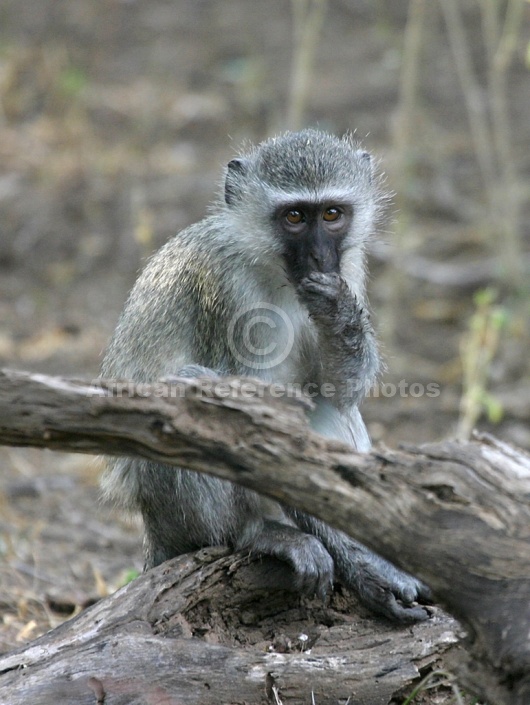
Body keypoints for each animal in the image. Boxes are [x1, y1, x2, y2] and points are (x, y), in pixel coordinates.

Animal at [102, 129, 428, 620]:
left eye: (332, 214)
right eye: (294, 217)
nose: (319, 258)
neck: (273, 268)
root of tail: (154, 533)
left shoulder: (349, 268)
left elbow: (337, 391)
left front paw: (338, 313)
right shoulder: (226, 290)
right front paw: (368, 571)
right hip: (178, 519)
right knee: (186, 393)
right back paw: (256, 534)